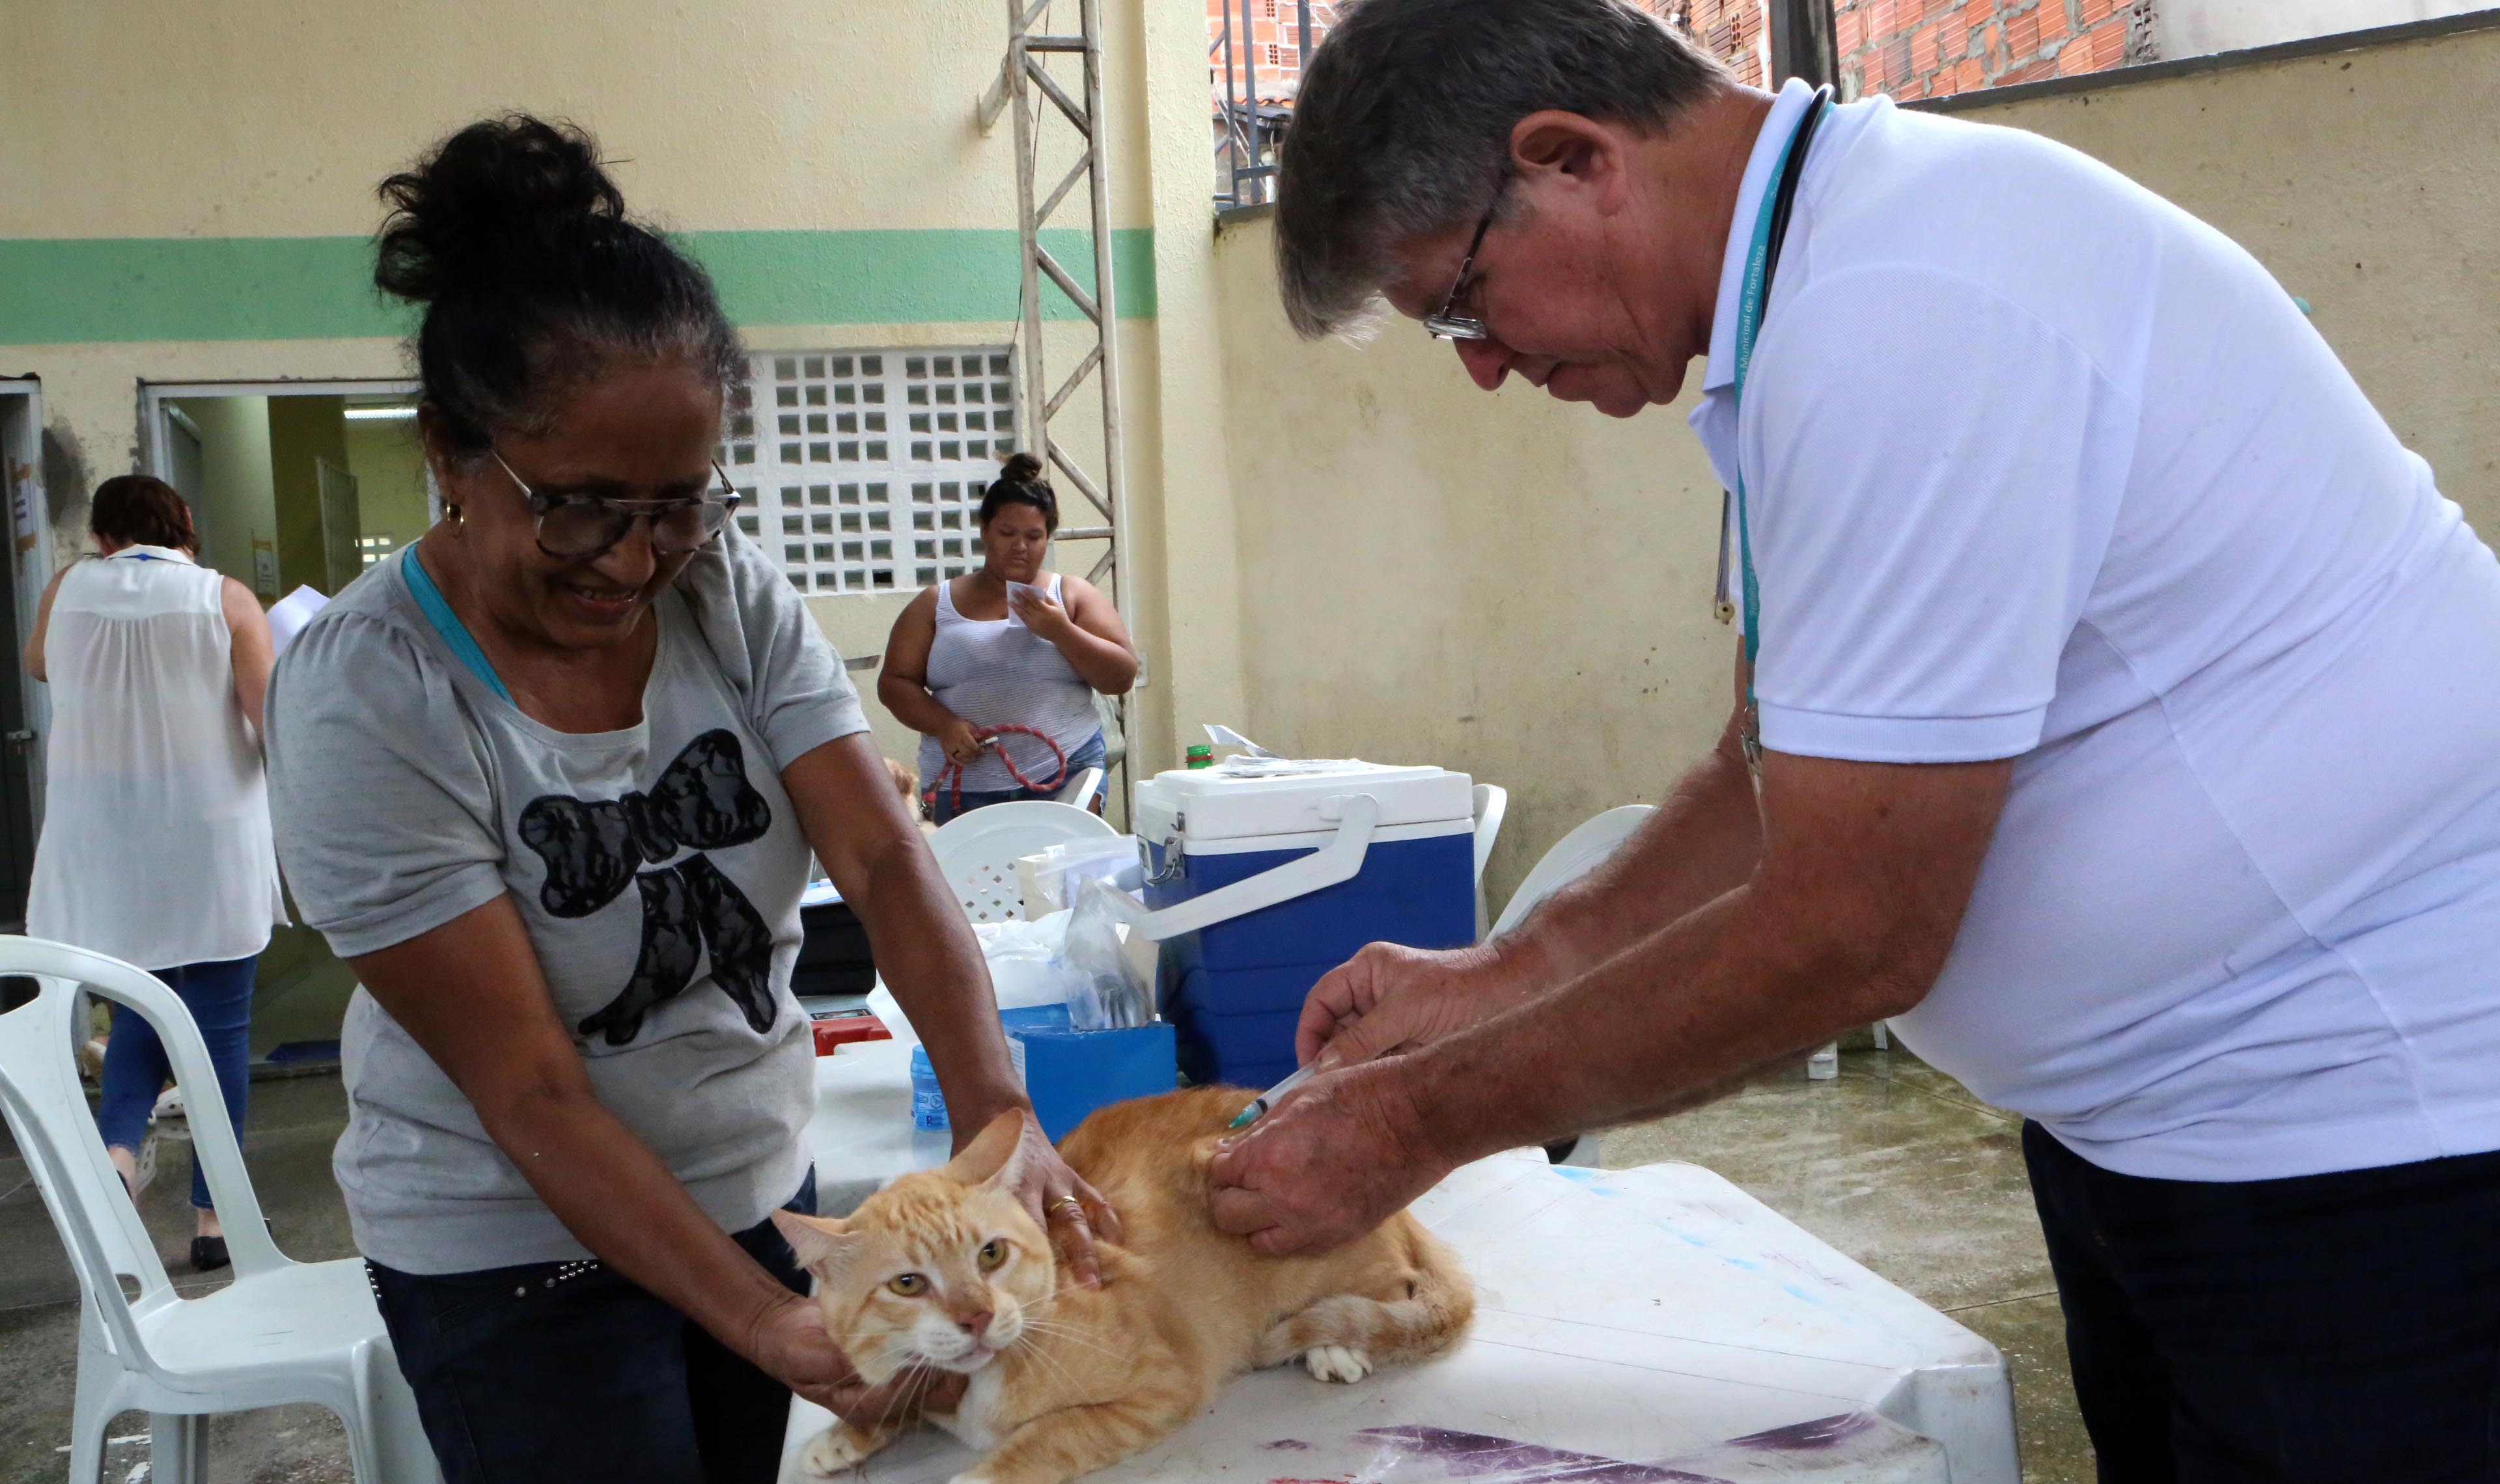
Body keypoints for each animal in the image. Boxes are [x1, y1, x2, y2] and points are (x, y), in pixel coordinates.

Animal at [770, 1074, 1469, 1479]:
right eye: (908, 1285)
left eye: (991, 1255)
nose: (978, 1317)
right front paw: (849, 1432)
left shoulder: (1166, 1383)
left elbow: (1051, 1436)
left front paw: (981, 1474)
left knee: (1392, 1287)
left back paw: (1333, 1345)